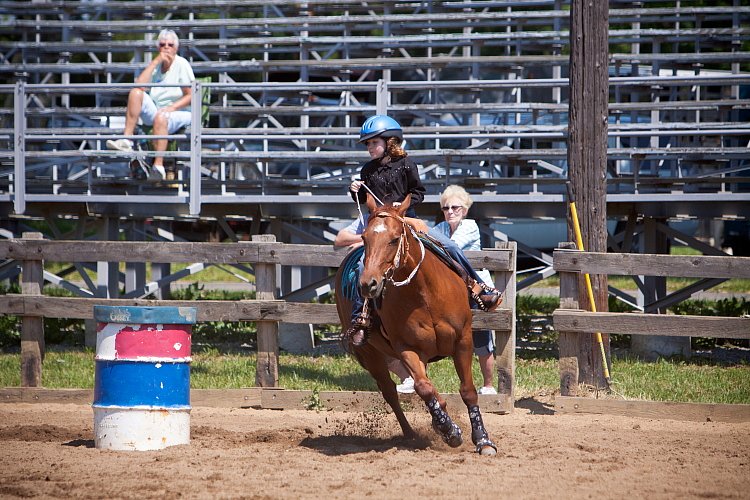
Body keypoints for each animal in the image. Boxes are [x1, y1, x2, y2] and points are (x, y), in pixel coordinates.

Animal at [334, 194, 500, 454]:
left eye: (394, 239)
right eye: (364, 238)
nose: (367, 284)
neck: (425, 293)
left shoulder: (463, 340)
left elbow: (468, 391)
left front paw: (483, 440)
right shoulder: (406, 348)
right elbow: (423, 388)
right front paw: (451, 431)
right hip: (370, 354)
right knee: (390, 391)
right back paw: (412, 433)